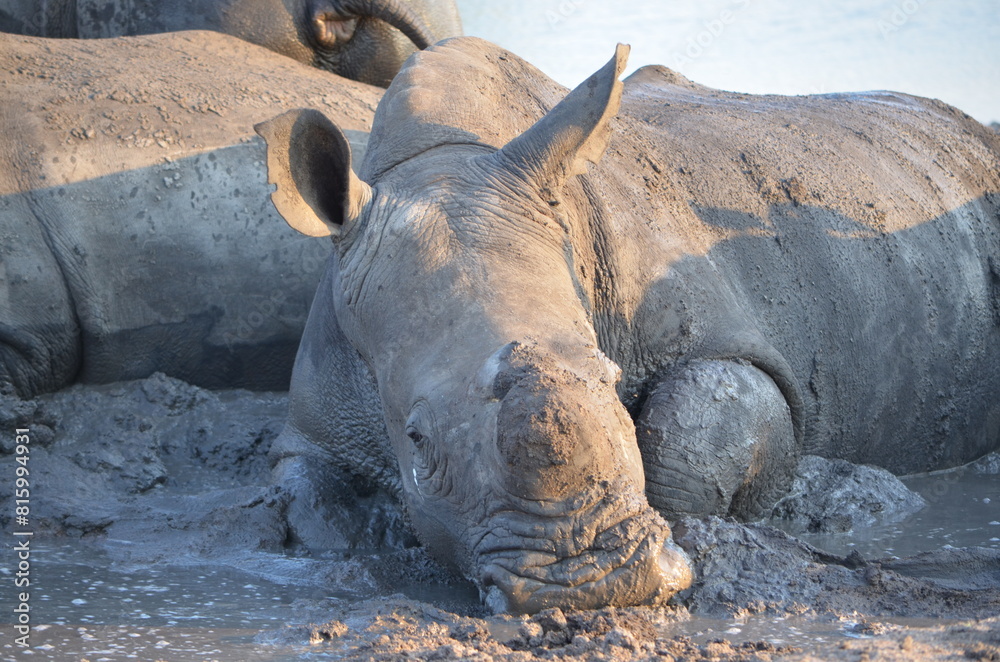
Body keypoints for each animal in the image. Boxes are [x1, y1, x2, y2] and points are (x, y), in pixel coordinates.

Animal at [256, 37, 1000, 613]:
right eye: (416, 438)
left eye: (612, 379)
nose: (597, 584)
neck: (437, 161)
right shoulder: (315, 409)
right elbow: (313, 500)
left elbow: (690, 433)